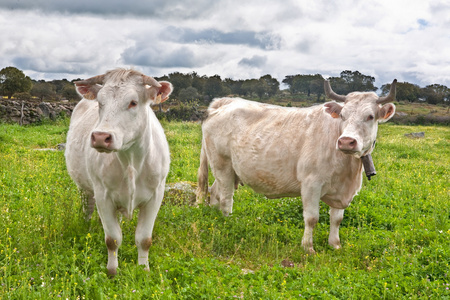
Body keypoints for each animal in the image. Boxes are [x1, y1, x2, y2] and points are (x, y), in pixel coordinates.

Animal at [65, 69, 172, 276]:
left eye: (133, 102)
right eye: (100, 102)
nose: (100, 137)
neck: (131, 161)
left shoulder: (156, 195)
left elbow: (144, 239)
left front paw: (144, 270)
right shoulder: (103, 196)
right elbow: (112, 239)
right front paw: (112, 272)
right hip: (85, 188)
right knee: (87, 207)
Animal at [197, 79, 398, 253]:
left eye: (370, 116)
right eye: (342, 115)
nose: (346, 141)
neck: (347, 170)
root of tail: (226, 102)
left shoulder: (342, 190)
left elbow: (337, 219)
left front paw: (335, 245)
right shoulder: (311, 184)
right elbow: (311, 218)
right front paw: (308, 248)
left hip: (229, 171)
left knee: (215, 193)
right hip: (221, 165)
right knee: (225, 198)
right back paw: (229, 223)